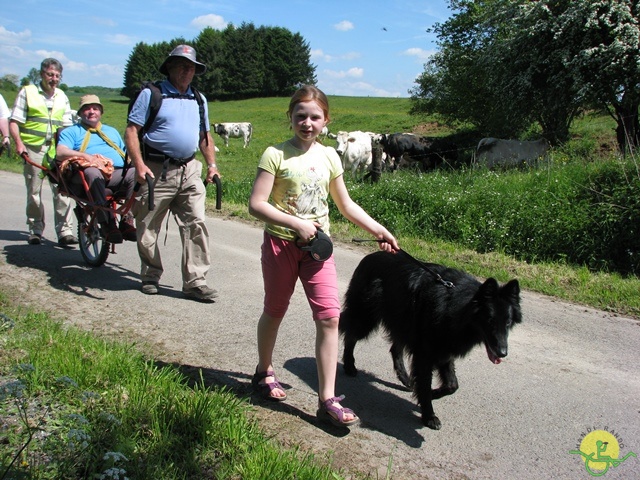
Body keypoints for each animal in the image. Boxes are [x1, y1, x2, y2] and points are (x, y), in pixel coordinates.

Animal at [338, 249, 524, 430]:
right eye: (490, 321)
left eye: (508, 322)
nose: (503, 353)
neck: (457, 307)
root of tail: (369, 257)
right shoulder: (426, 353)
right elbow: (426, 383)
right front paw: (429, 415)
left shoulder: (444, 349)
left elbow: (452, 385)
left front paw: (434, 393)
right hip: (366, 317)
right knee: (350, 335)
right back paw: (349, 365)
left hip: (403, 322)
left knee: (394, 348)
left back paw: (406, 379)